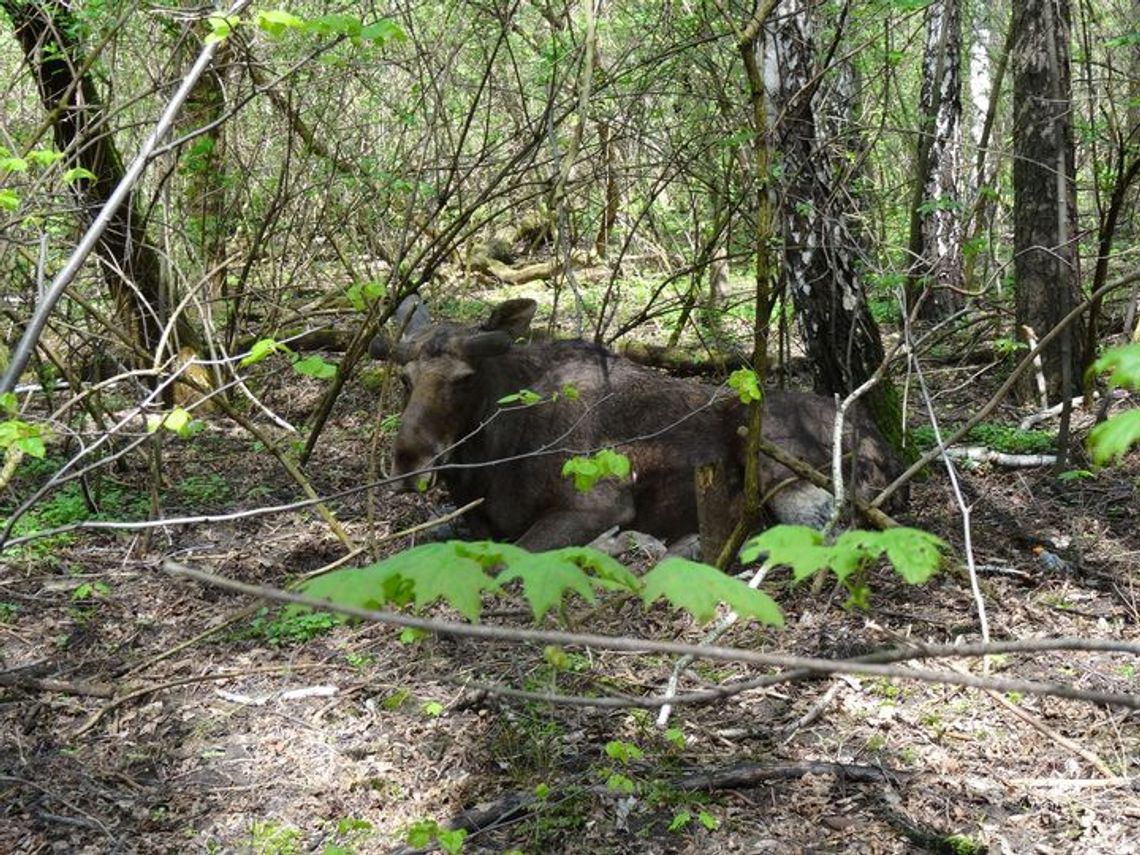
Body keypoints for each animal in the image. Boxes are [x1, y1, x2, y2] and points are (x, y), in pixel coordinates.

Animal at [369, 300, 902, 551]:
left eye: (463, 379)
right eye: (405, 378)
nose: (408, 464)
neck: (490, 460)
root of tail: (887, 451)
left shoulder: (598, 504)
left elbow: (513, 553)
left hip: (786, 472)